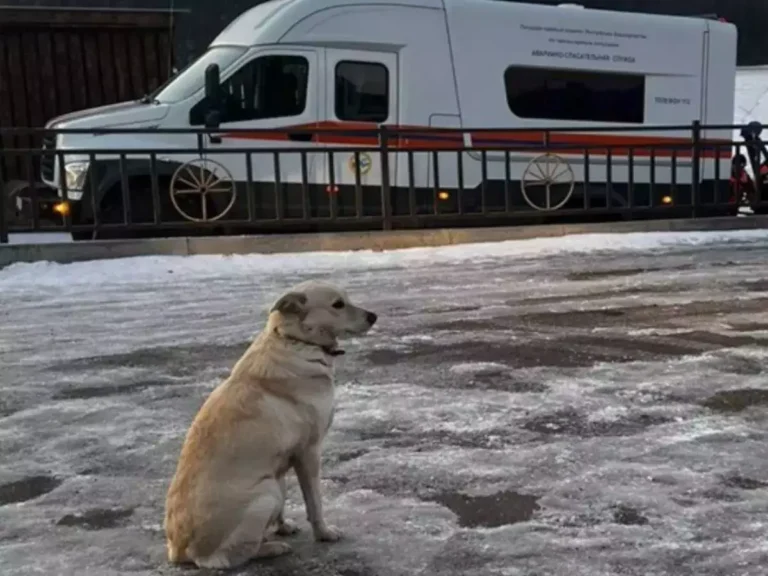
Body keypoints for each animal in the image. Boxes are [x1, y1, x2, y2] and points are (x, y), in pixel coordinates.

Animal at [163, 282, 378, 568]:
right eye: (338, 304)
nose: (373, 316)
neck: (295, 341)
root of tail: (179, 550)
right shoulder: (309, 452)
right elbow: (315, 503)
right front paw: (323, 533)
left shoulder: (283, 462)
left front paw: (283, 526)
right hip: (266, 494)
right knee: (227, 557)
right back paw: (272, 548)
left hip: (273, 485)